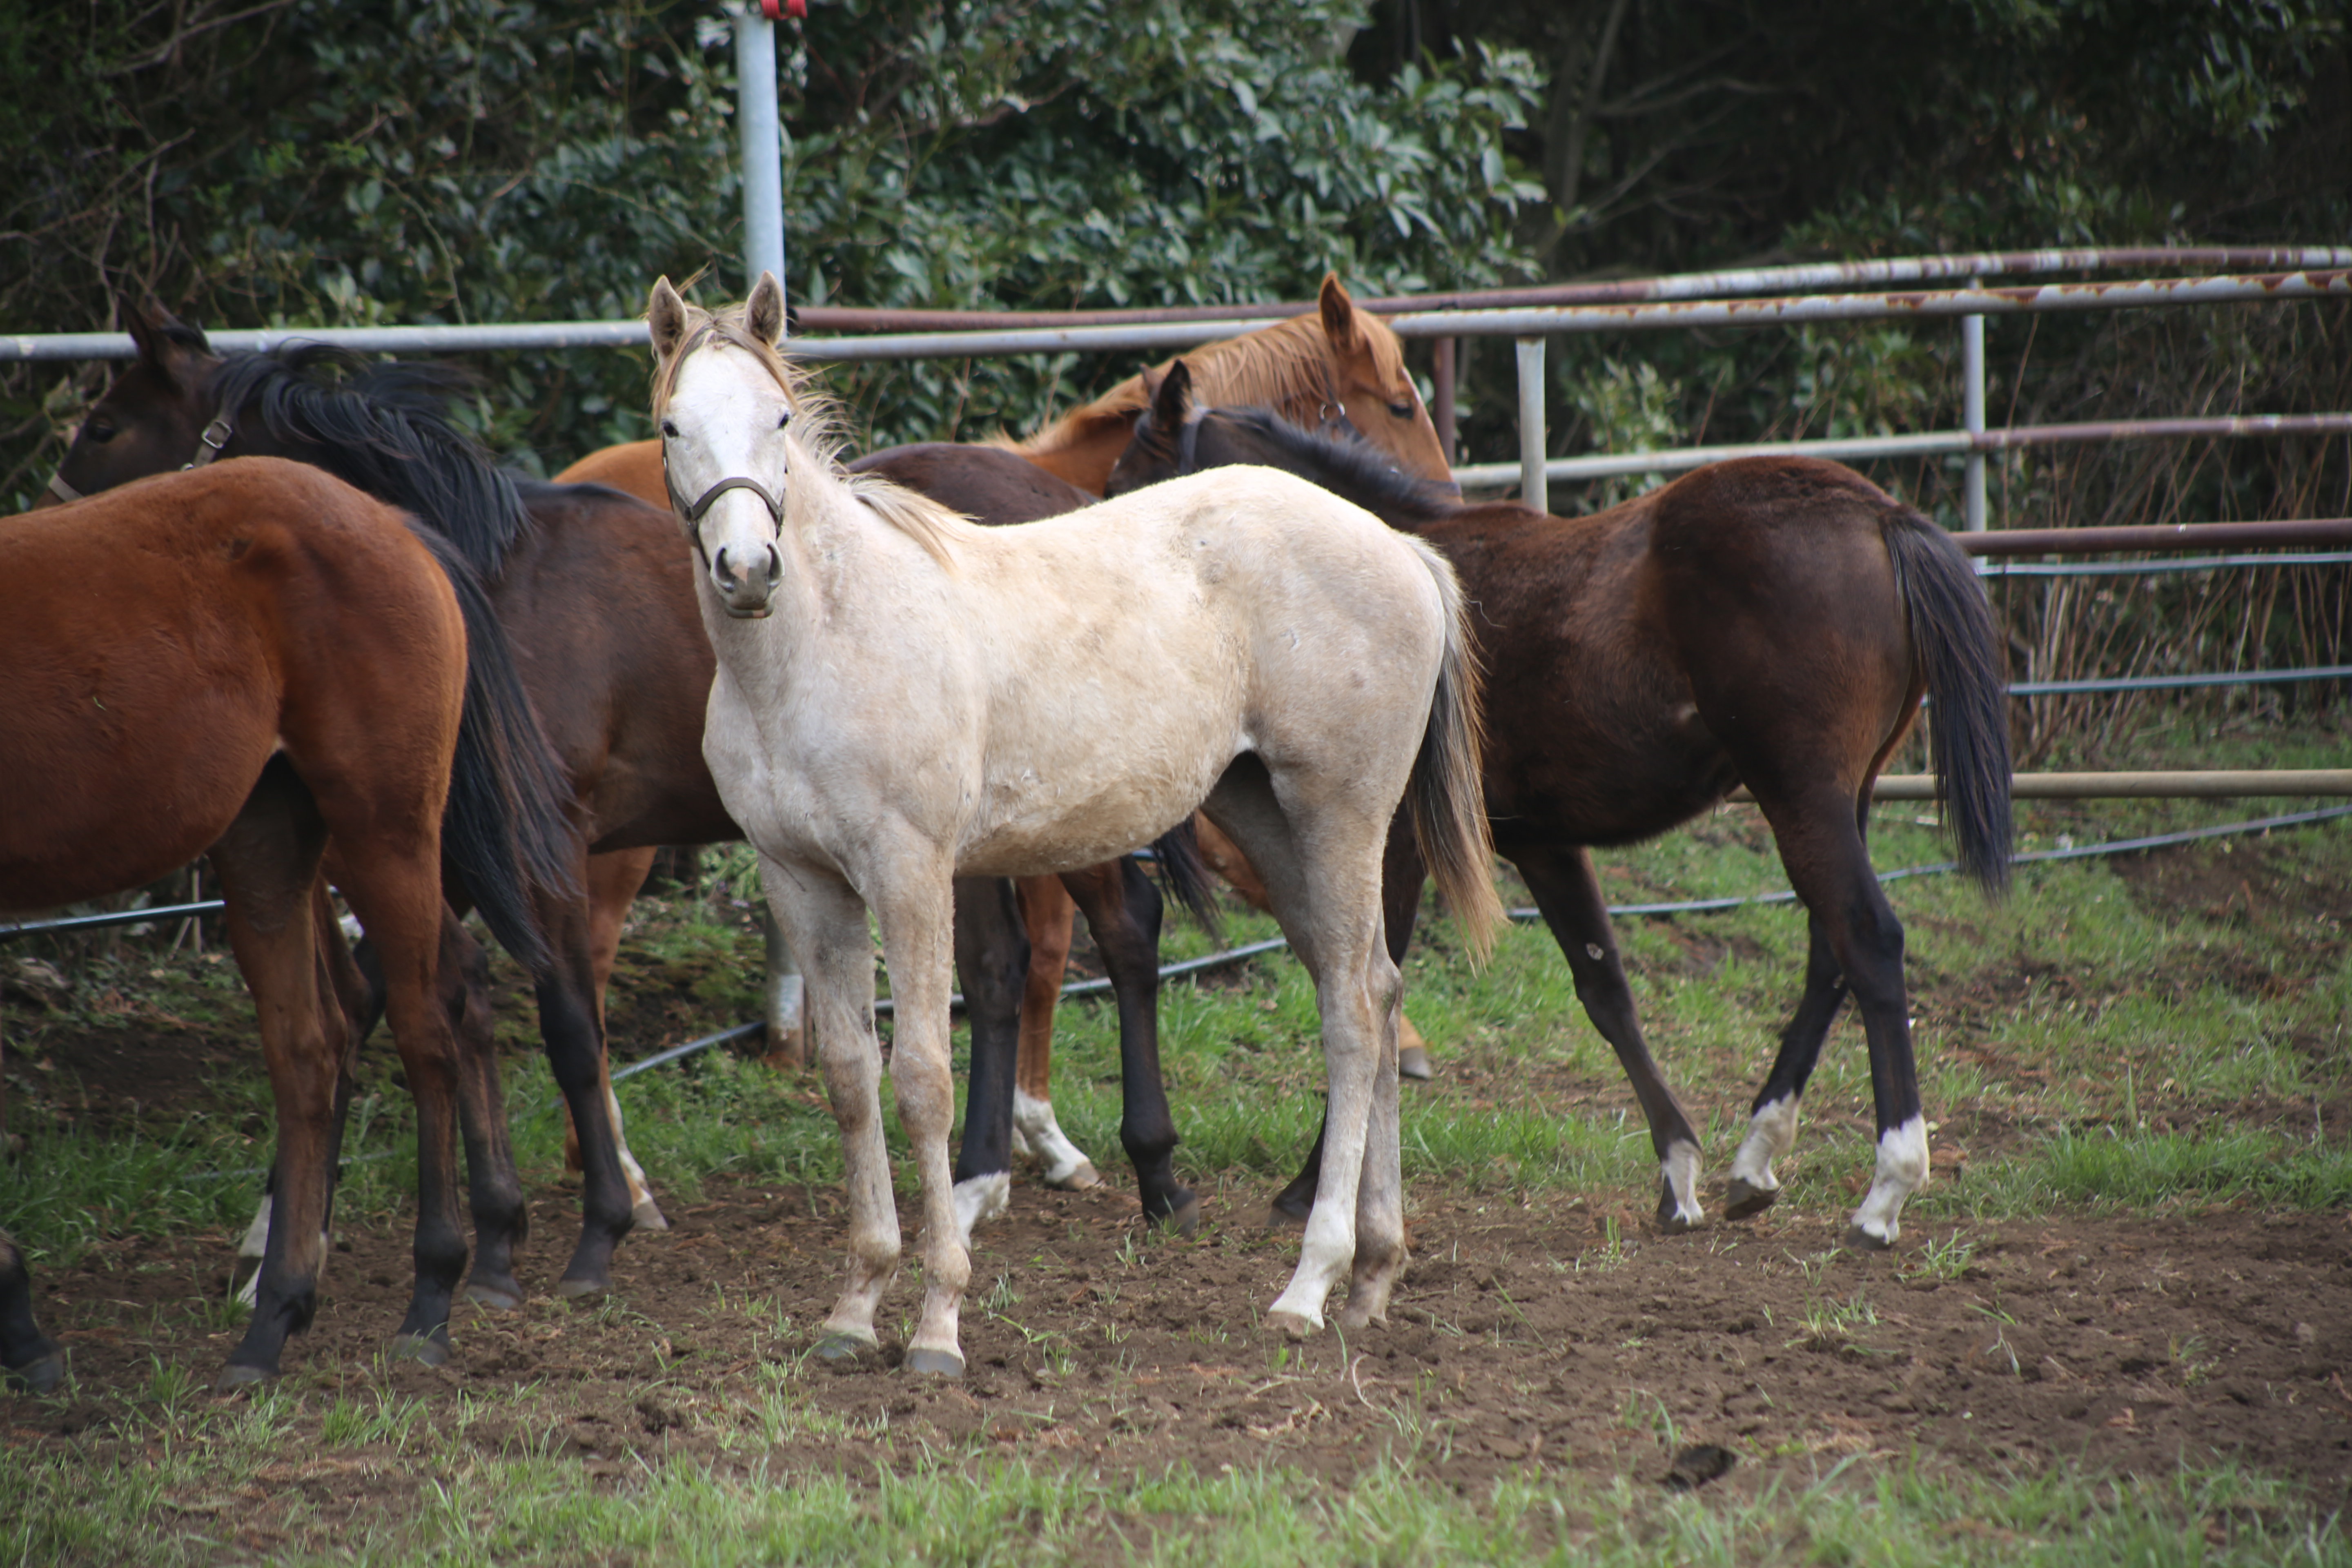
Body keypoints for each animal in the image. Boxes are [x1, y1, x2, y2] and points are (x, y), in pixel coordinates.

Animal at [2, 456, 569, 1382]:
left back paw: (431, 1298)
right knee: (311, 1050)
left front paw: (22, 1323)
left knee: (426, 1034)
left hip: (384, 831)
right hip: (268, 838)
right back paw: (273, 1318)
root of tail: (394, 524)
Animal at [649, 272, 1486, 1373]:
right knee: (1376, 990)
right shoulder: (802, 881)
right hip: (1266, 816)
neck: (822, 644)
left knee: (1351, 1011)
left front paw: (939, 1321)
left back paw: (1309, 1284)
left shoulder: (910, 874)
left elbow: (921, 1077)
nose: (747, 569)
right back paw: (1373, 1277)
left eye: (779, 420)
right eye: (671, 427)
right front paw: (855, 1306)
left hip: (1338, 814)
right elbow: (849, 1078)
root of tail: (1398, 545)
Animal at [1110, 371, 2013, 1250]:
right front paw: (1677, 1172)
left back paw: (1886, 1190)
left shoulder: (1394, 840)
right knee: (1832, 954)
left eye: (1126, 484)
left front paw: (1307, 1187)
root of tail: (1879, 515)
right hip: (1839, 800)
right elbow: (1605, 989)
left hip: (1802, 797)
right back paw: (1756, 1160)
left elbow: (1366, 985)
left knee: (1869, 940)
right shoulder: (1543, 844)